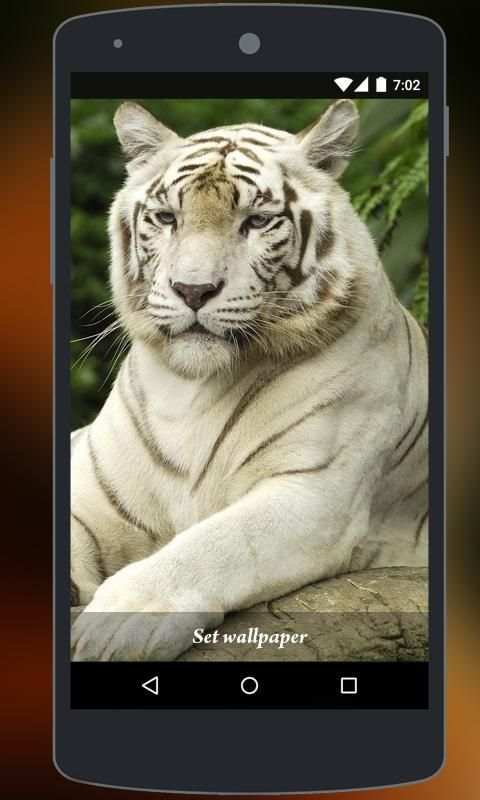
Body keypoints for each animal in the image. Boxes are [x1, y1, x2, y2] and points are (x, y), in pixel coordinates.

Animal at [70, 99, 428, 661]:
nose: (193, 290)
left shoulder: (312, 492)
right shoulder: (90, 488)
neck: (189, 390)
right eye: (167, 218)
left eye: (257, 221)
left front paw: (117, 623)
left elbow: (216, 543)